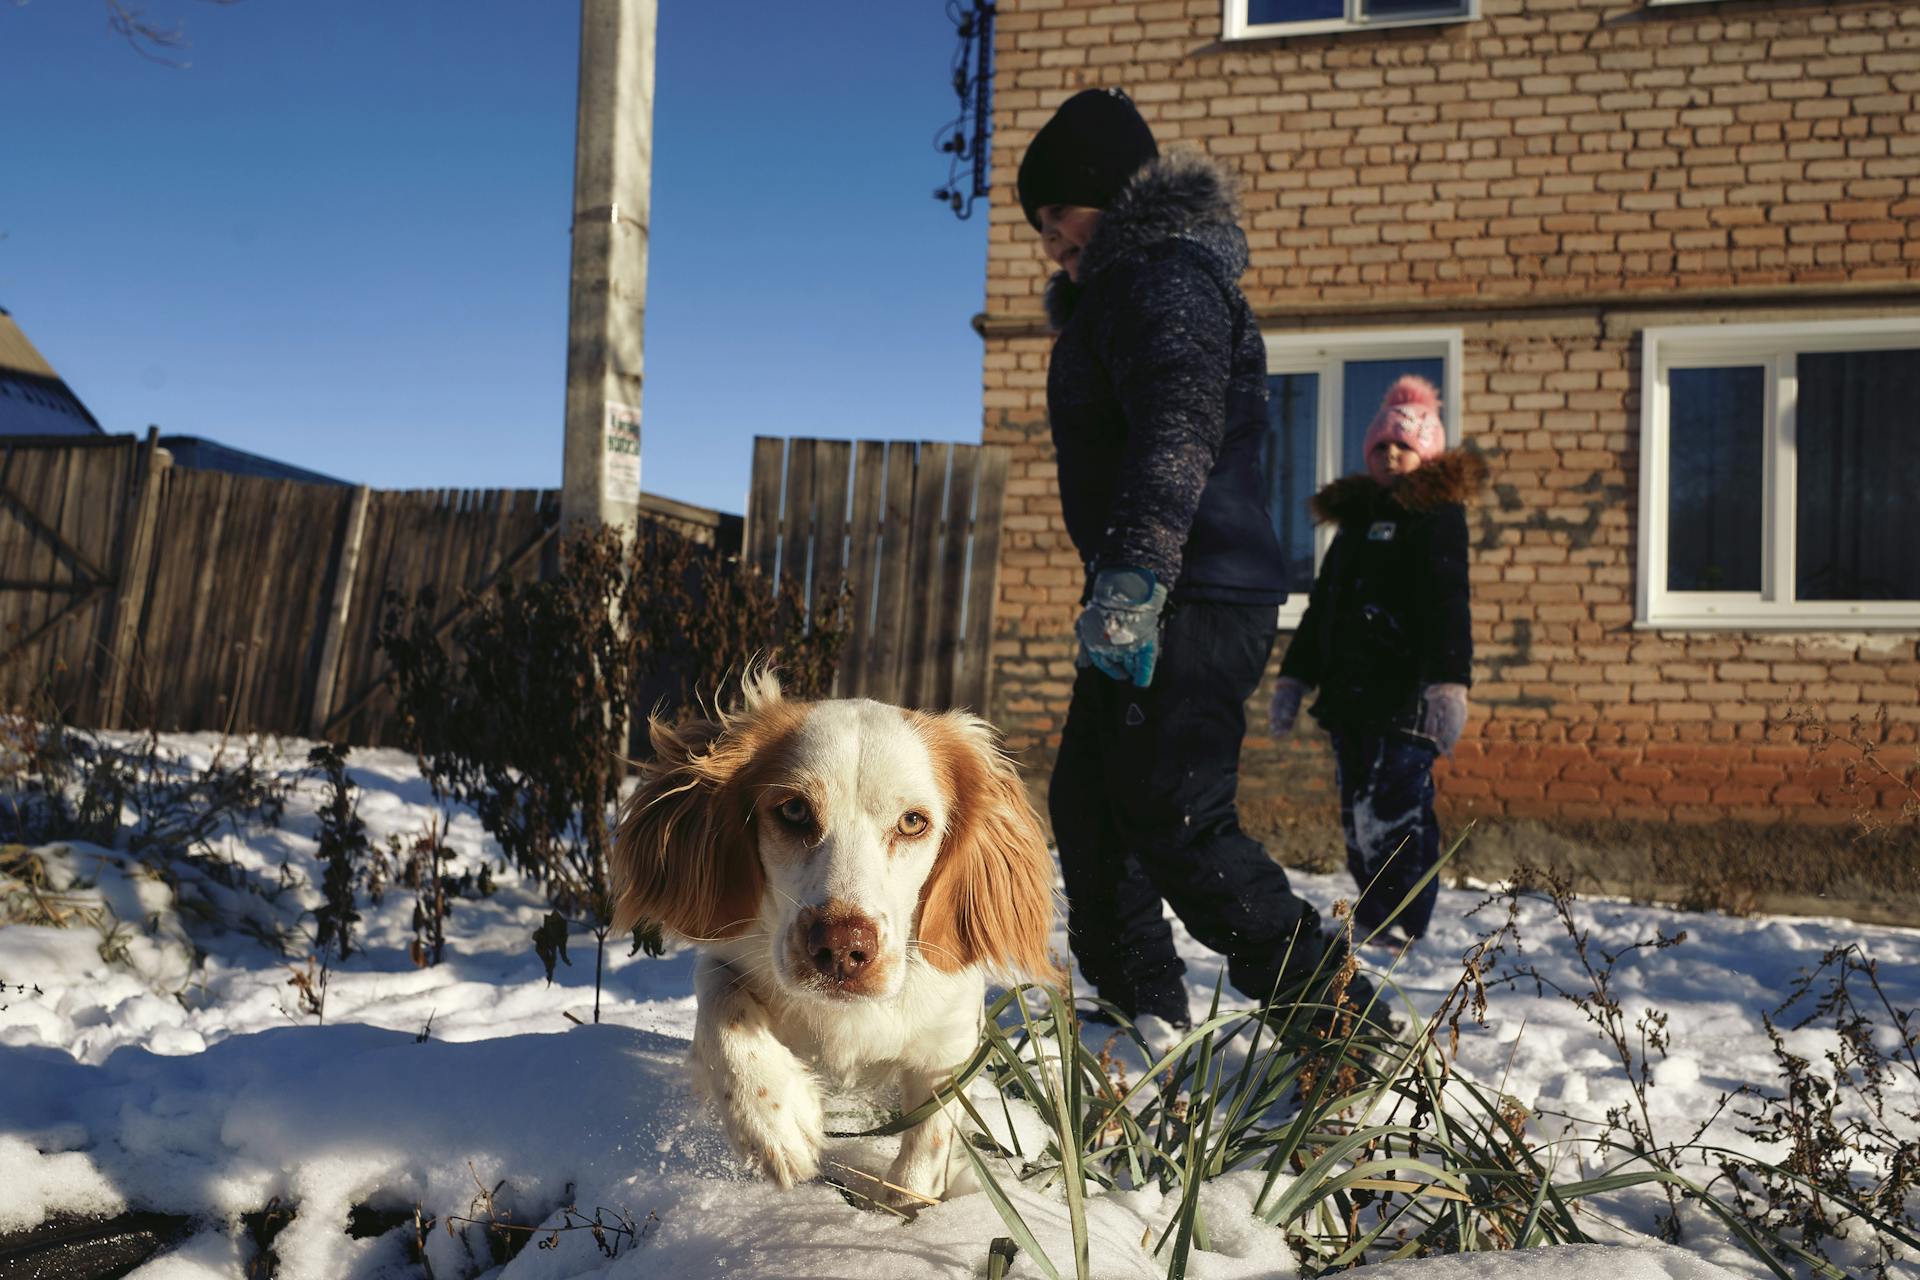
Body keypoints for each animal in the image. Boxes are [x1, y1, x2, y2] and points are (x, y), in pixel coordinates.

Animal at [610, 675, 1059, 1205]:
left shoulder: (947, 1046)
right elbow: (724, 1011)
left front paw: (909, 1206)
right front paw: (775, 1121)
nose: (842, 948)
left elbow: (928, 1147)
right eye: (794, 810)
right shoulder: (728, 955)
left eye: (913, 821)